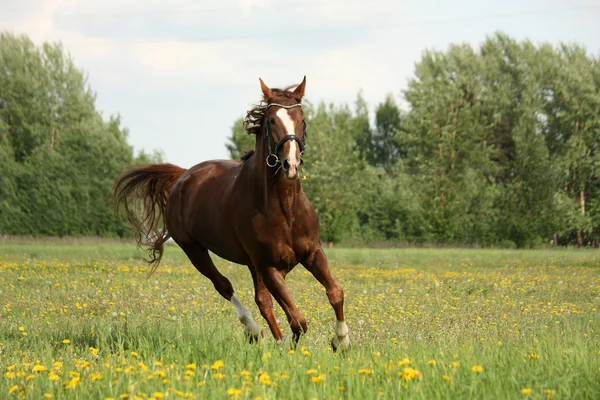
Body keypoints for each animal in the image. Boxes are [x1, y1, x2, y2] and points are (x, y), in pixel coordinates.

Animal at [114, 77, 350, 350]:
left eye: (302, 120)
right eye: (272, 120)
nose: (291, 164)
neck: (285, 208)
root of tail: (182, 176)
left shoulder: (312, 253)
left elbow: (334, 293)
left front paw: (341, 340)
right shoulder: (268, 266)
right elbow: (298, 320)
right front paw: (292, 344)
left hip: (249, 263)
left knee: (263, 302)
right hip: (195, 250)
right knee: (225, 286)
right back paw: (253, 330)